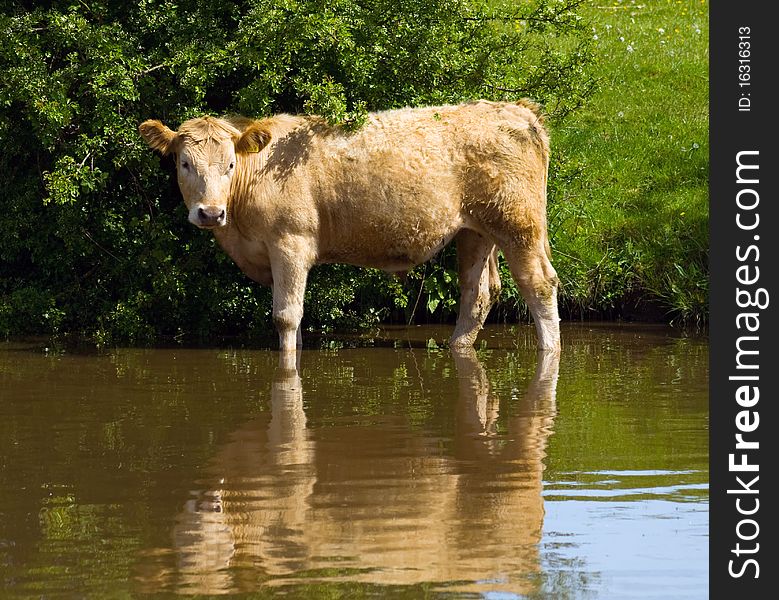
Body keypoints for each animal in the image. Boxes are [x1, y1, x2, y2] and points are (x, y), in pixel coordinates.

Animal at [137, 99, 556, 352]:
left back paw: (550, 349)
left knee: (539, 284)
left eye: (229, 164)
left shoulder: (291, 243)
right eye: (184, 163)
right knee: (477, 293)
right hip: (476, 231)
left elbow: (285, 316)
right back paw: (458, 346)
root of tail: (516, 111)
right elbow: (295, 319)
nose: (209, 213)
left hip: (519, 225)